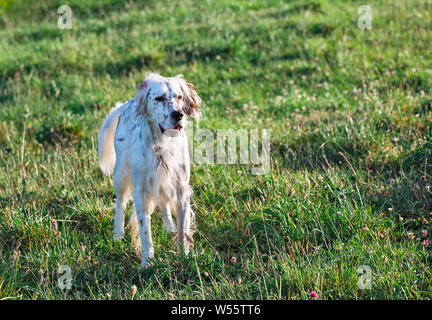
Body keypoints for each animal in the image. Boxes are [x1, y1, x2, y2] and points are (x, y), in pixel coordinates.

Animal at [98, 74, 201, 266]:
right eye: (159, 98)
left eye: (179, 97)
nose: (179, 115)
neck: (163, 145)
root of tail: (127, 103)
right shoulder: (141, 191)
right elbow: (144, 230)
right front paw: (147, 261)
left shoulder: (180, 188)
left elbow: (183, 229)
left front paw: (184, 255)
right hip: (121, 175)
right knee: (120, 203)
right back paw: (117, 235)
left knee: (164, 205)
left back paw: (170, 228)